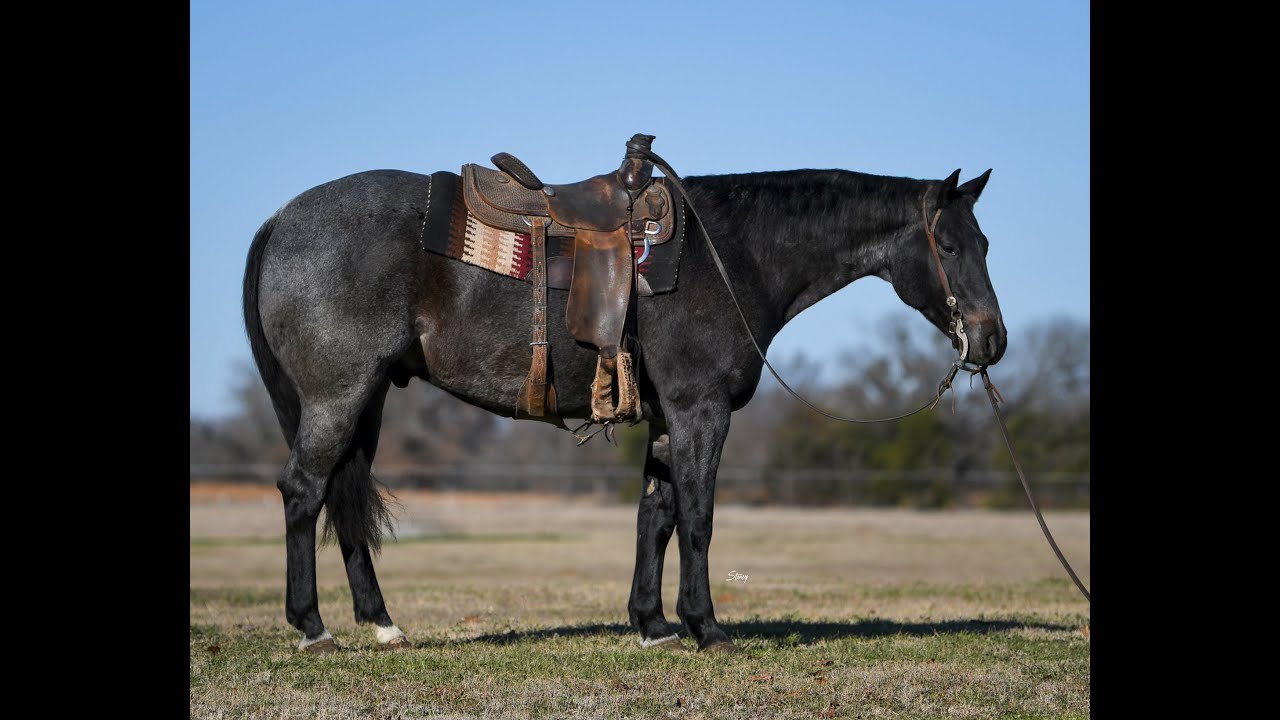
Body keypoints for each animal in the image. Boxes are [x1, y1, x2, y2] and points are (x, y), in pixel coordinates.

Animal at [242, 153, 1006, 654]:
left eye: (985, 242)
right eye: (947, 243)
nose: (992, 339)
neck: (729, 255)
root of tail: (280, 219)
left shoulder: (670, 419)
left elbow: (656, 515)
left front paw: (654, 624)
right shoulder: (702, 411)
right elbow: (696, 518)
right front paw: (706, 627)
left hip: (365, 402)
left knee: (344, 501)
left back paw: (382, 624)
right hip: (337, 397)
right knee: (304, 491)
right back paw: (313, 628)